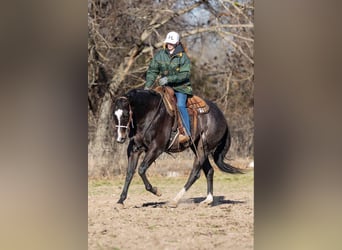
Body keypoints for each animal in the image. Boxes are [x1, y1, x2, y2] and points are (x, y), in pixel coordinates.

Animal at [112, 88, 243, 207]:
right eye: (114, 115)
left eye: (125, 114)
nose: (120, 138)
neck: (149, 113)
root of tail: (222, 117)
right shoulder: (134, 150)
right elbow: (129, 173)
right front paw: (120, 200)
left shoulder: (156, 149)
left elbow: (141, 169)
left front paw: (156, 191)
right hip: (196, 148)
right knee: (209, 171)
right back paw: (207, 200)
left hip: (203, 149)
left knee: (195, 173)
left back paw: (175, 200)